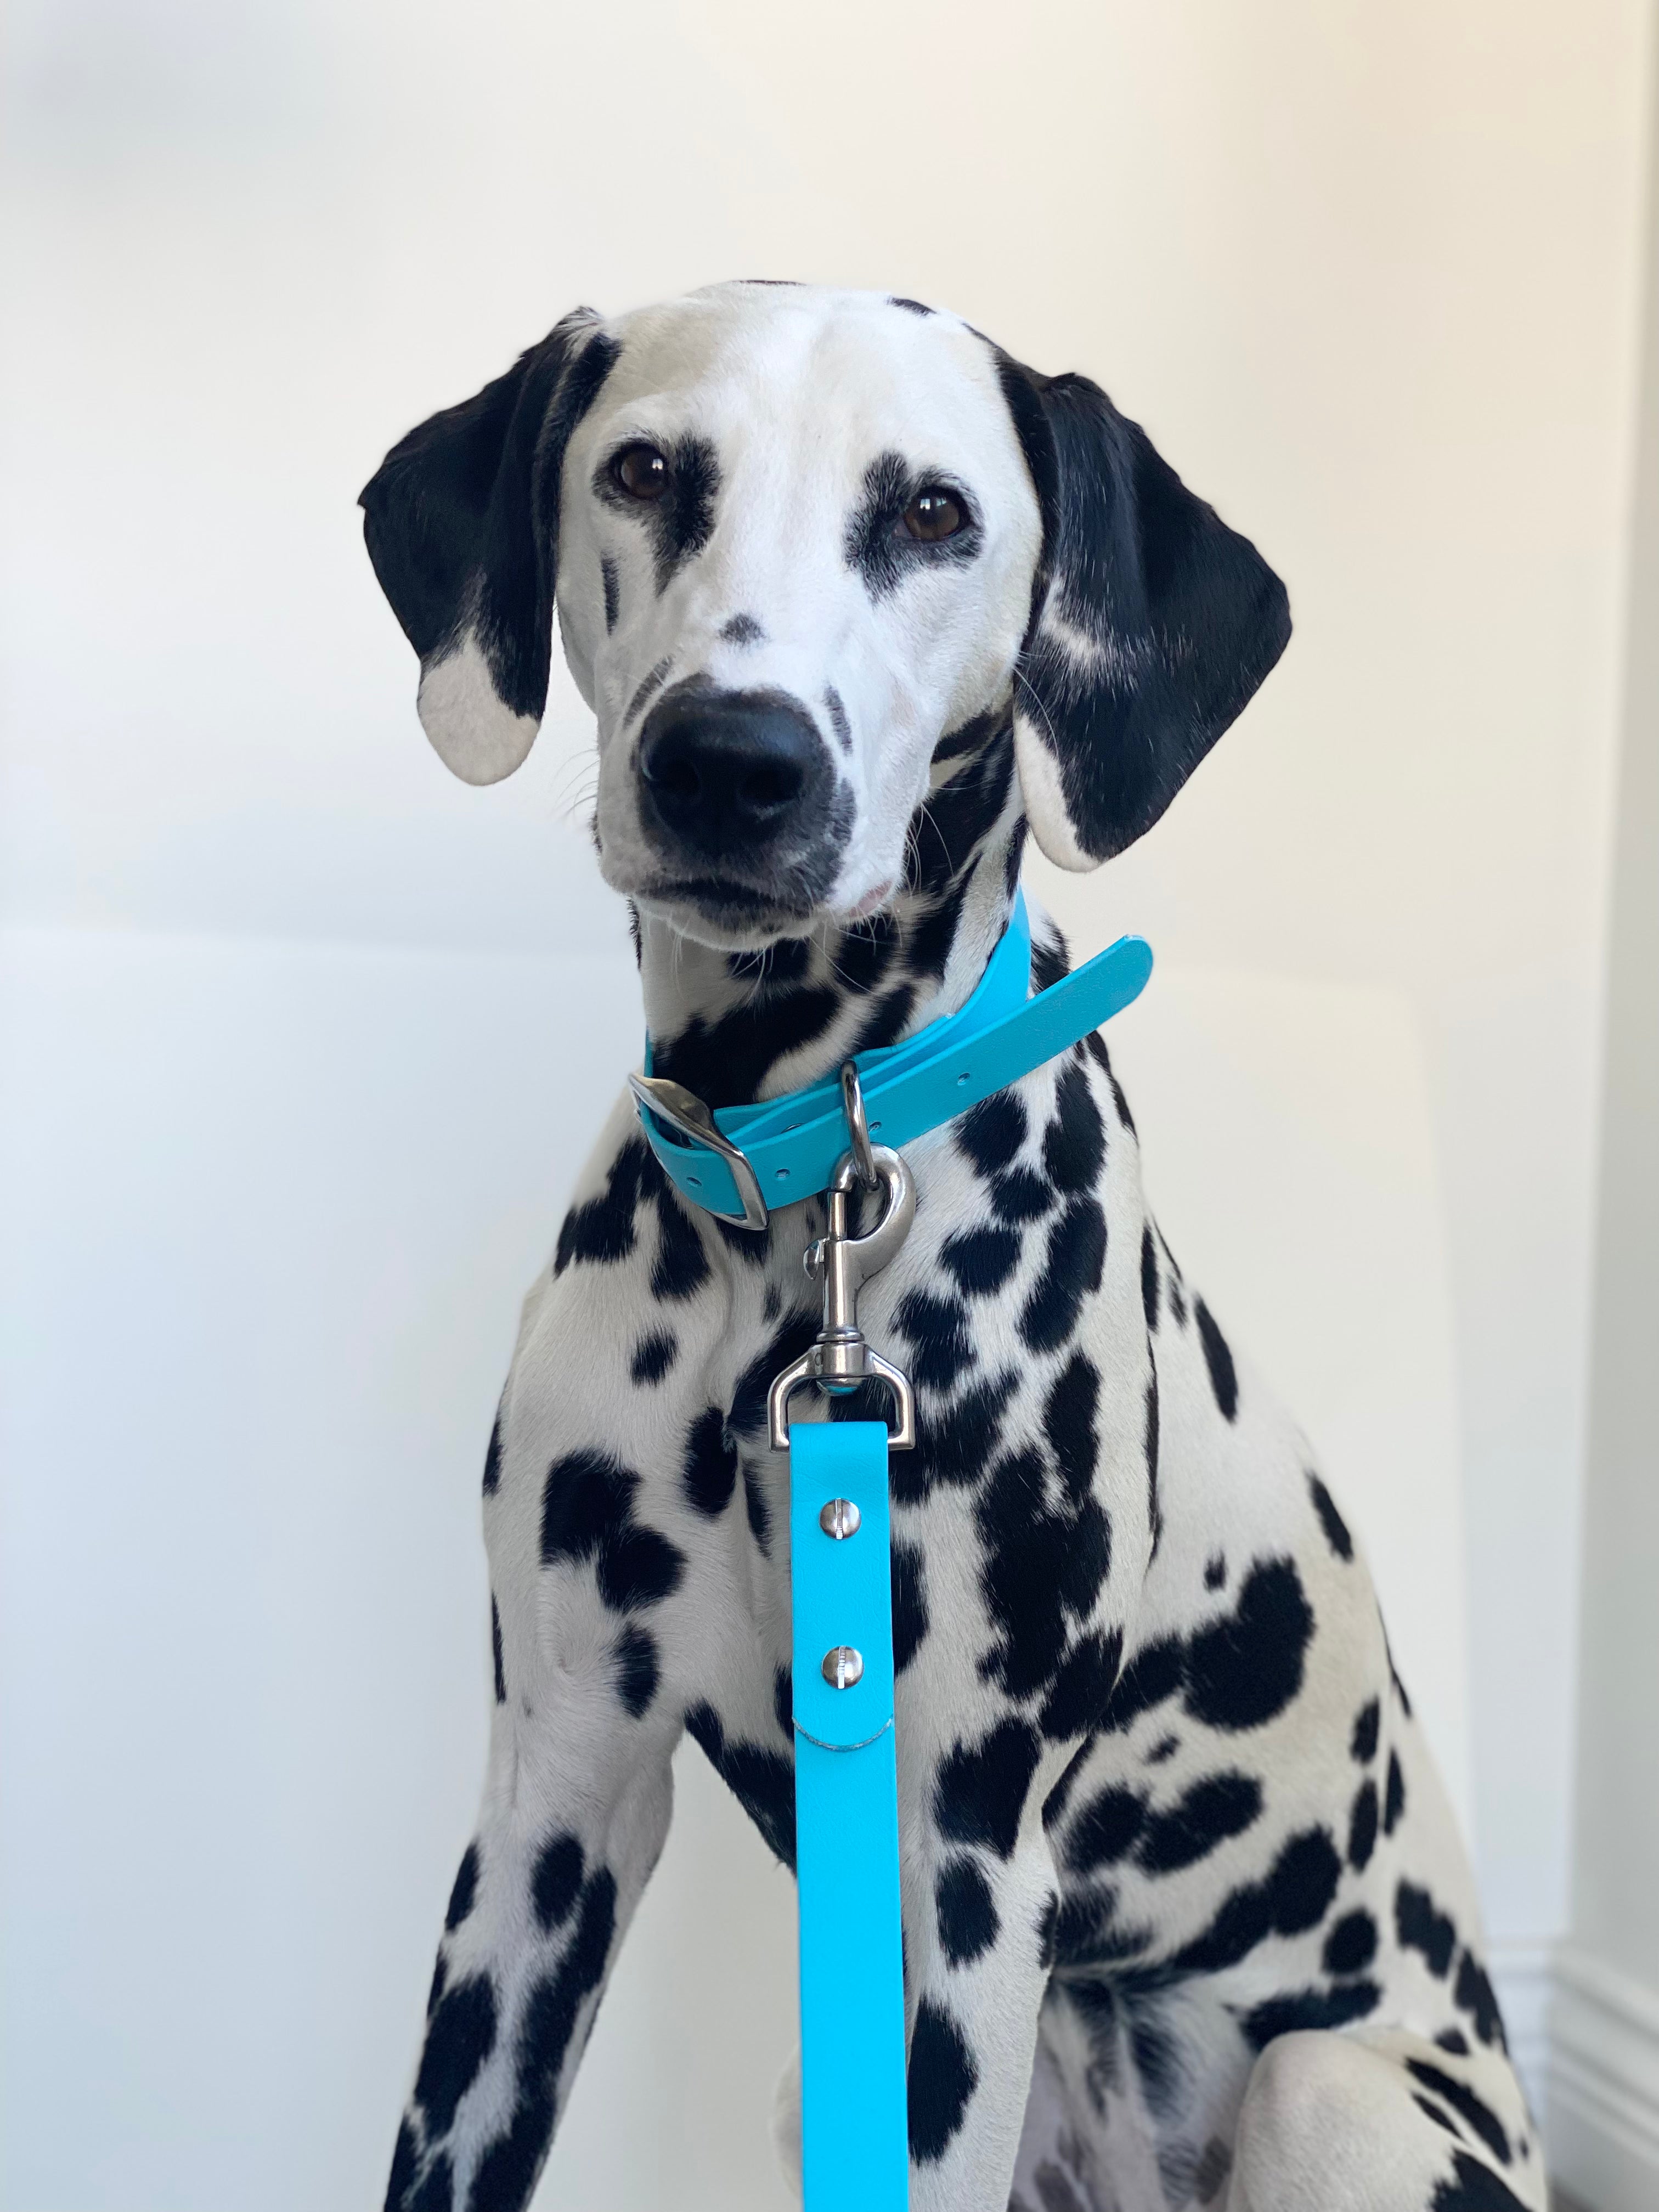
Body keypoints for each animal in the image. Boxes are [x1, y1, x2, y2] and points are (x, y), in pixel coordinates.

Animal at [361, 282, 1542, 2212]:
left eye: (931, 513)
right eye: (645, 470)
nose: (733, 763)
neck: (798, 1198)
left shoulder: (961, 1859)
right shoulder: (552, 1802)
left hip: (1338, 2099)